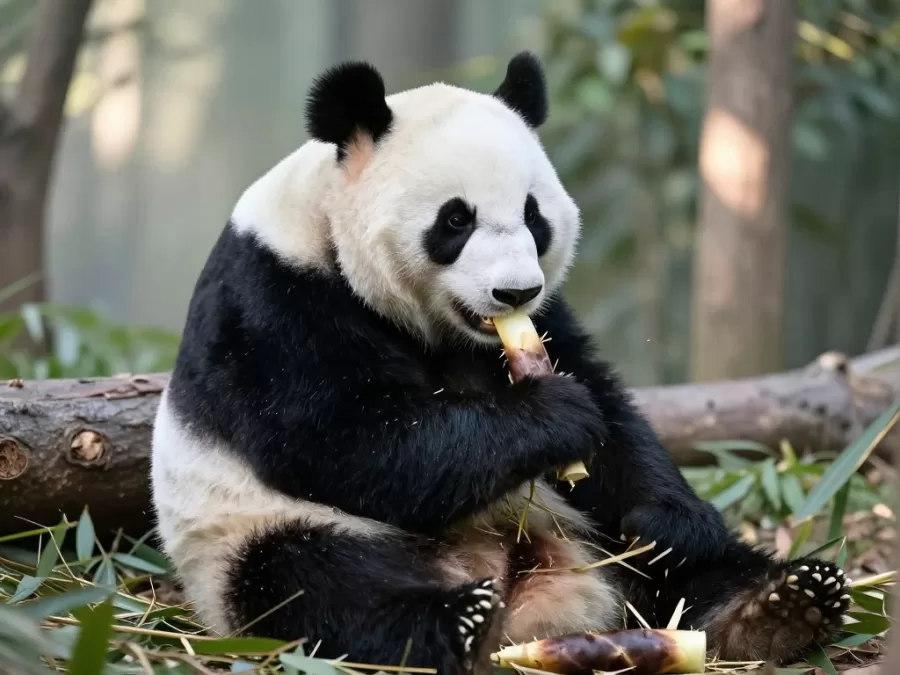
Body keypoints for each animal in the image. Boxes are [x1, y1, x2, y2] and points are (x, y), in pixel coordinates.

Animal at [150, 52, 850, 675]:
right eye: (455, 219)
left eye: (533, 215)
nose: (515, 293)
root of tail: (520, 591)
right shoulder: (275, 303)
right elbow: (344, 438)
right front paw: (553, 414)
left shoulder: (545, 320)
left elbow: (612, 417)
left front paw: (668, 521)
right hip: (246, 536)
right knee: (315, 583)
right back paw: (454, 622)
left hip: (584, 533)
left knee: (696, 574)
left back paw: (778, 608)